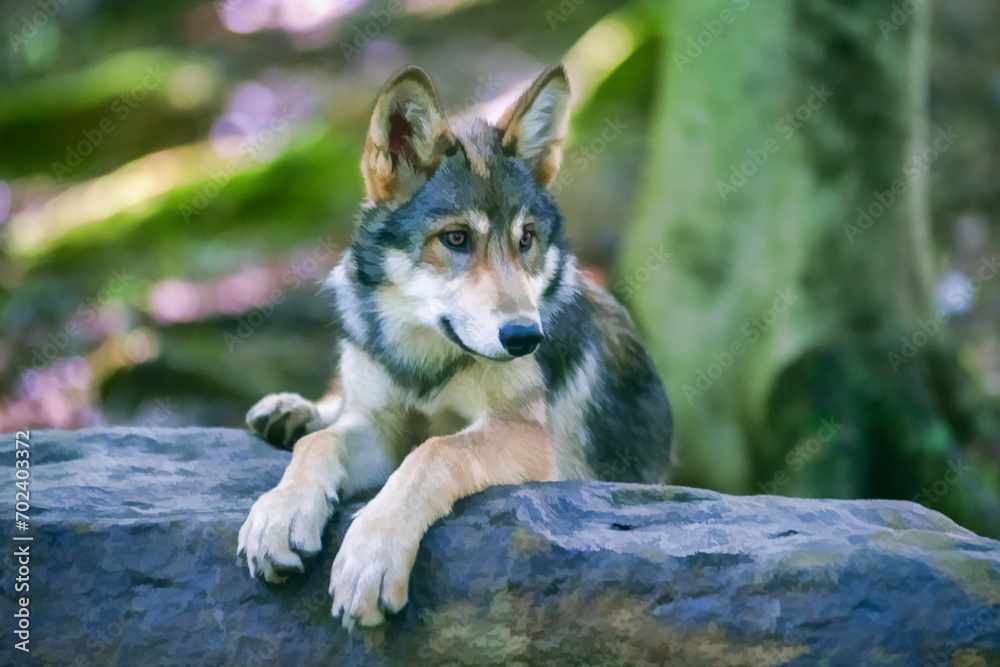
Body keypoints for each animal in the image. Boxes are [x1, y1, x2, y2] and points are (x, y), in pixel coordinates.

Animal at [237, 64, 672, 630]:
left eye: (526, 239)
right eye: (457, 239)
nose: (525, 337)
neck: (427, 360)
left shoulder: (530, 441)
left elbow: (434, 452)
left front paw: (370, 558)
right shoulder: (381, 427)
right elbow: (321, 445)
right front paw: (280, 513)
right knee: (332, 412)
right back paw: (289, 410)